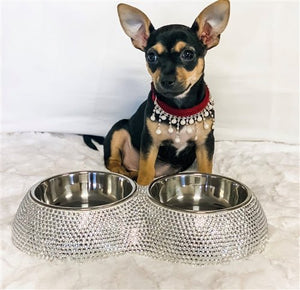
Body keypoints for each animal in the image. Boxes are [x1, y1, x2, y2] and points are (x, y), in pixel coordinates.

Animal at [84, 0, 230, 185]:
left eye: (188, 54)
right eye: (151, 56)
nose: (166, 80)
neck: (180, 109)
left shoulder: (205, 143)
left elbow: (206, 170)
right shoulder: (150, 143)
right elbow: (146, 172)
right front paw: (142, 187)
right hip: (119, 129)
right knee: (113, 161)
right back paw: (122, 172)